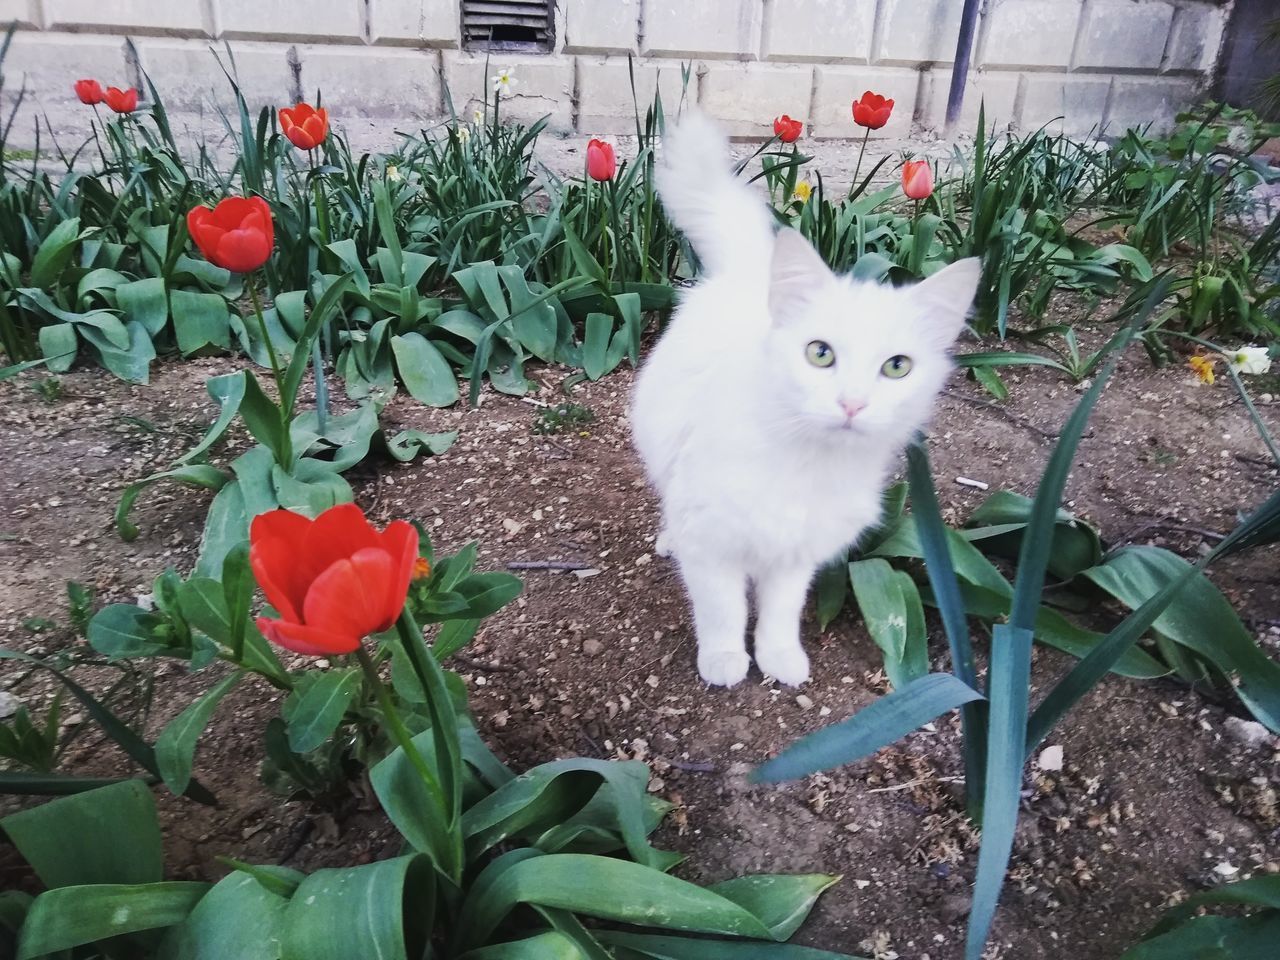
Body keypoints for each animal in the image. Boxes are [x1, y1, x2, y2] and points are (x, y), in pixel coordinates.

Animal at [629, 112, 977, 686]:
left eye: (896, 367)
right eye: (820, 354)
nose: (852, 404)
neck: (807, 460)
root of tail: (753, 271)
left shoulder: (798, 554)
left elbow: (779, 611)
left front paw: (778, 657)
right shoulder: (713, 543)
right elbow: (723, 609)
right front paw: (724, 661)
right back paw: (668, 540)